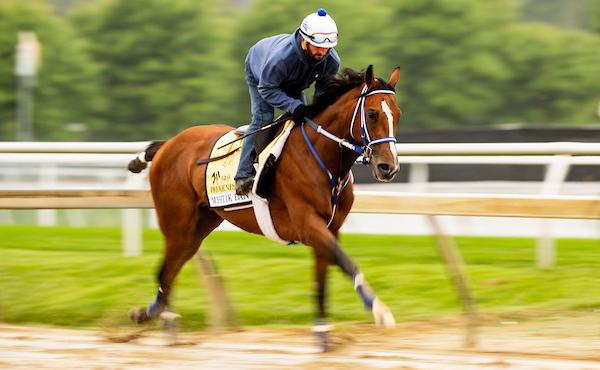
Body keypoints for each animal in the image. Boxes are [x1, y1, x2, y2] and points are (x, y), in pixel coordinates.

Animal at [131, 65, 404, 348]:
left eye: (397, 115)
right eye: (372, 114)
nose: (389, 167)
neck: (322, 158)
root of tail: (168, 144)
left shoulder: (330, 228)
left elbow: (322, 278)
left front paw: (323, 332)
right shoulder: (308, 224)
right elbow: (347, 263)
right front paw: (380, 311)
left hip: (200, 225)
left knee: (171, 268)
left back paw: (152, 314)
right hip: (176, 224)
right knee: (165, 271)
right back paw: (164, 321)